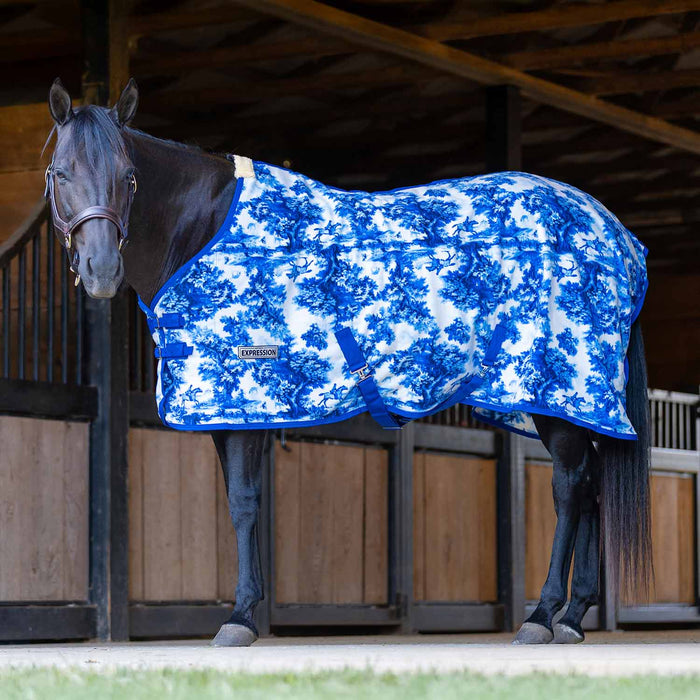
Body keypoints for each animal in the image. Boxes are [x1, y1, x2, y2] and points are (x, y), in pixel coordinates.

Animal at [45, 78, 651, 646]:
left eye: (129, 176)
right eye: (60, 172)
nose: (101, 270)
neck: (206, 228)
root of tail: (616, 235)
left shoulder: (247, 405)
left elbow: (243, 503)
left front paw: (239, 618)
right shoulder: (227, 411)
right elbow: (238, 501)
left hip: (556, 394)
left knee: (570, 489)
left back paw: (542, 616)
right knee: (591, 484)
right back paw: (572, 617)